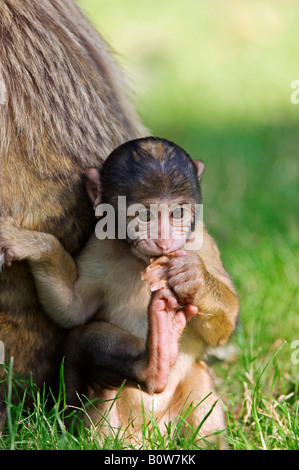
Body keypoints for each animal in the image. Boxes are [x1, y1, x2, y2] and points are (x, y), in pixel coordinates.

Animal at [0, 137, 239, 444]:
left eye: (177, 213)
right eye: (145, 215)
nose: (164, 242)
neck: (140, 260)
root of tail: (150, 435)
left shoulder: (202, 242)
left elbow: (224, 326)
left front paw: (192, 275)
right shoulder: (97, 248)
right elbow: (73, 311)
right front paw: (34, 244)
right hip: (100, 423)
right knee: (81, 342)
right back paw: (153, 363)